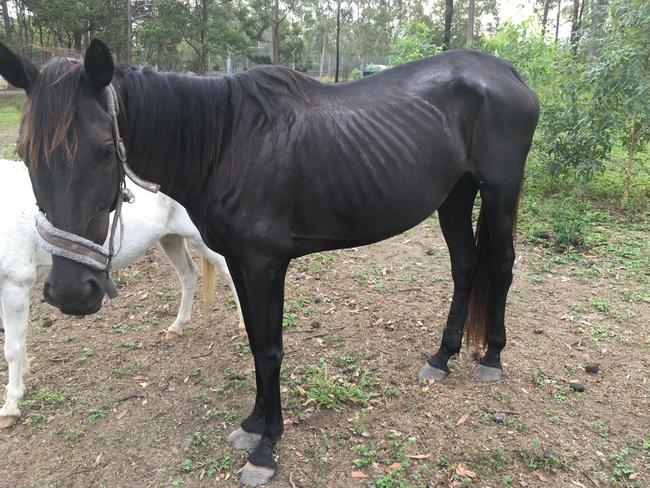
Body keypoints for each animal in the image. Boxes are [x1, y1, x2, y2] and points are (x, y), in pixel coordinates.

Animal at [0, 160, 243, 428]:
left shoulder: (15, 284)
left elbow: (11, 348)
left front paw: (10, 405)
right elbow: (19, 340)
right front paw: (23, 375)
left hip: (199, 238)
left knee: (228, 272)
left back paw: (243, 325)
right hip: (170, 238)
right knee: (188, 275)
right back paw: (177, 327)